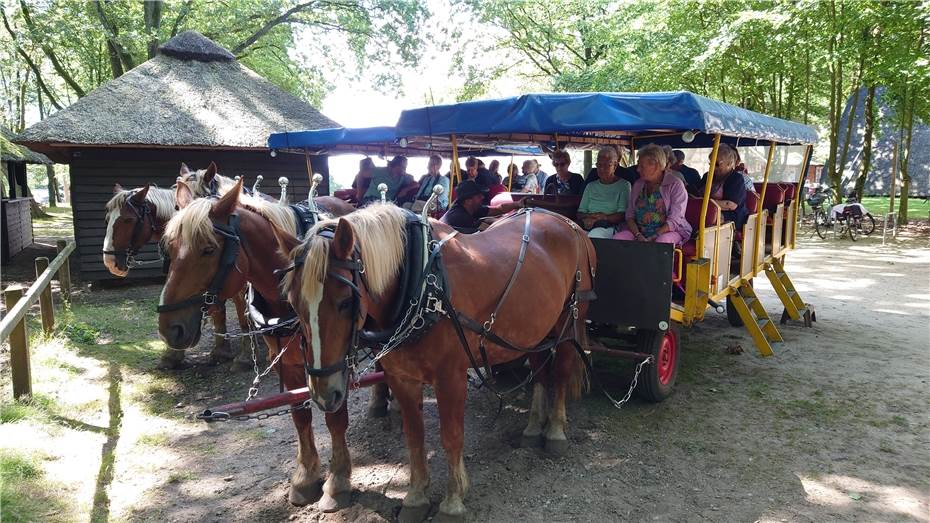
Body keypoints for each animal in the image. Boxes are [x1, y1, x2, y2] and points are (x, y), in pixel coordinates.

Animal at [103, 180, 250, 368]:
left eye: (128, 220)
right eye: (108, 219)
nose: (109, 261)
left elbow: (242, 313)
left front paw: (244, 356)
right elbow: (215, 310)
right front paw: (176, 353)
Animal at [158, 178, 382, 510]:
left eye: (208, 249)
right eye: (170, 247)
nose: (169, 328)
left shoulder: (331, 358)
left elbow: (334, 417)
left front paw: (338, 481)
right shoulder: (288, 362)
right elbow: (299, 414)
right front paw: (305, 477)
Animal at [276, 203, 596, 520]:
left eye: (345, 301)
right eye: (292, 302)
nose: (323, 394)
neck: (425, 285)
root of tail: (566, 222)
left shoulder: (450, 378)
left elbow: (451, 436)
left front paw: (452, 502)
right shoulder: (401, 378)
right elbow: (414, 436)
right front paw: (416, 497)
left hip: (569, 320)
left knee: (562, 371)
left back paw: (555, 431)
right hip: (535, 328)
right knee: (540, 368)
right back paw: (532, 428)